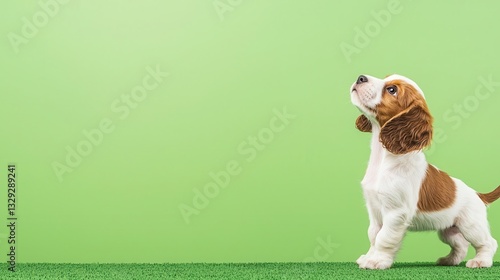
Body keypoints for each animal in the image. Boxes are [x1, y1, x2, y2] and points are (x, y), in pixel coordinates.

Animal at [352, 74, 500, 270]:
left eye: (392, 90)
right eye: (384, 78)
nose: (361, 78)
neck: (383, 158)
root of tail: (478, 195)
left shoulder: (395, 212)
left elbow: (384, 238)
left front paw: (377, 260)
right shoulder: (375, 211)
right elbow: (373, 235)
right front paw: (369, 256)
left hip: (471, 225)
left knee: (488, 242)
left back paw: (481, 261)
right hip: (448, 230)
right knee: (461, 244)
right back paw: (449, 260)